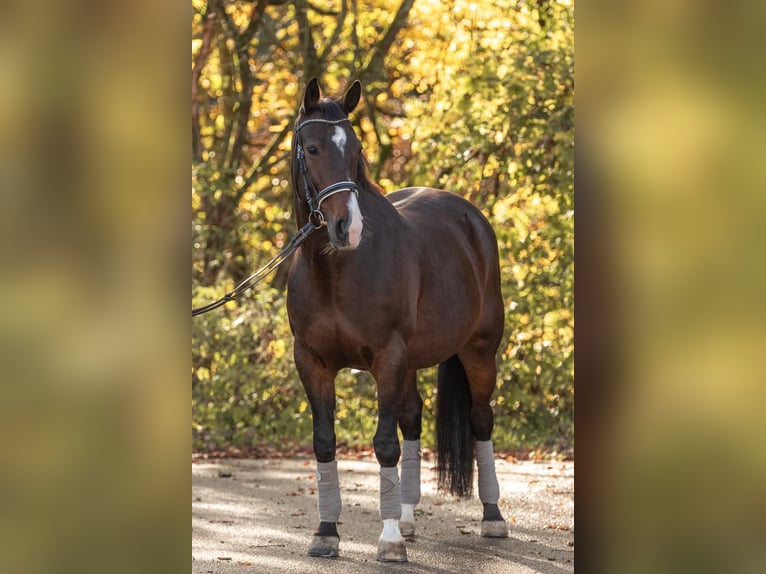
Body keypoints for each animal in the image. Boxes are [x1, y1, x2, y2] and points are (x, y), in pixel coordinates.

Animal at [286, 77, 508, 562]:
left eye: (355, 150)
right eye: (312, 148)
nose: (346, 227)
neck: (338, 270)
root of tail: (471, 218)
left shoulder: (387, 358)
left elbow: (384, 443)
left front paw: (387, 541)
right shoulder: (312, 362)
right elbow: (324, 441)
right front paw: (326, 532)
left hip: (479, 352)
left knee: (481, 420)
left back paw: (492, 517)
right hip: (411, 363)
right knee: (413, 417)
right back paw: (406, 517)